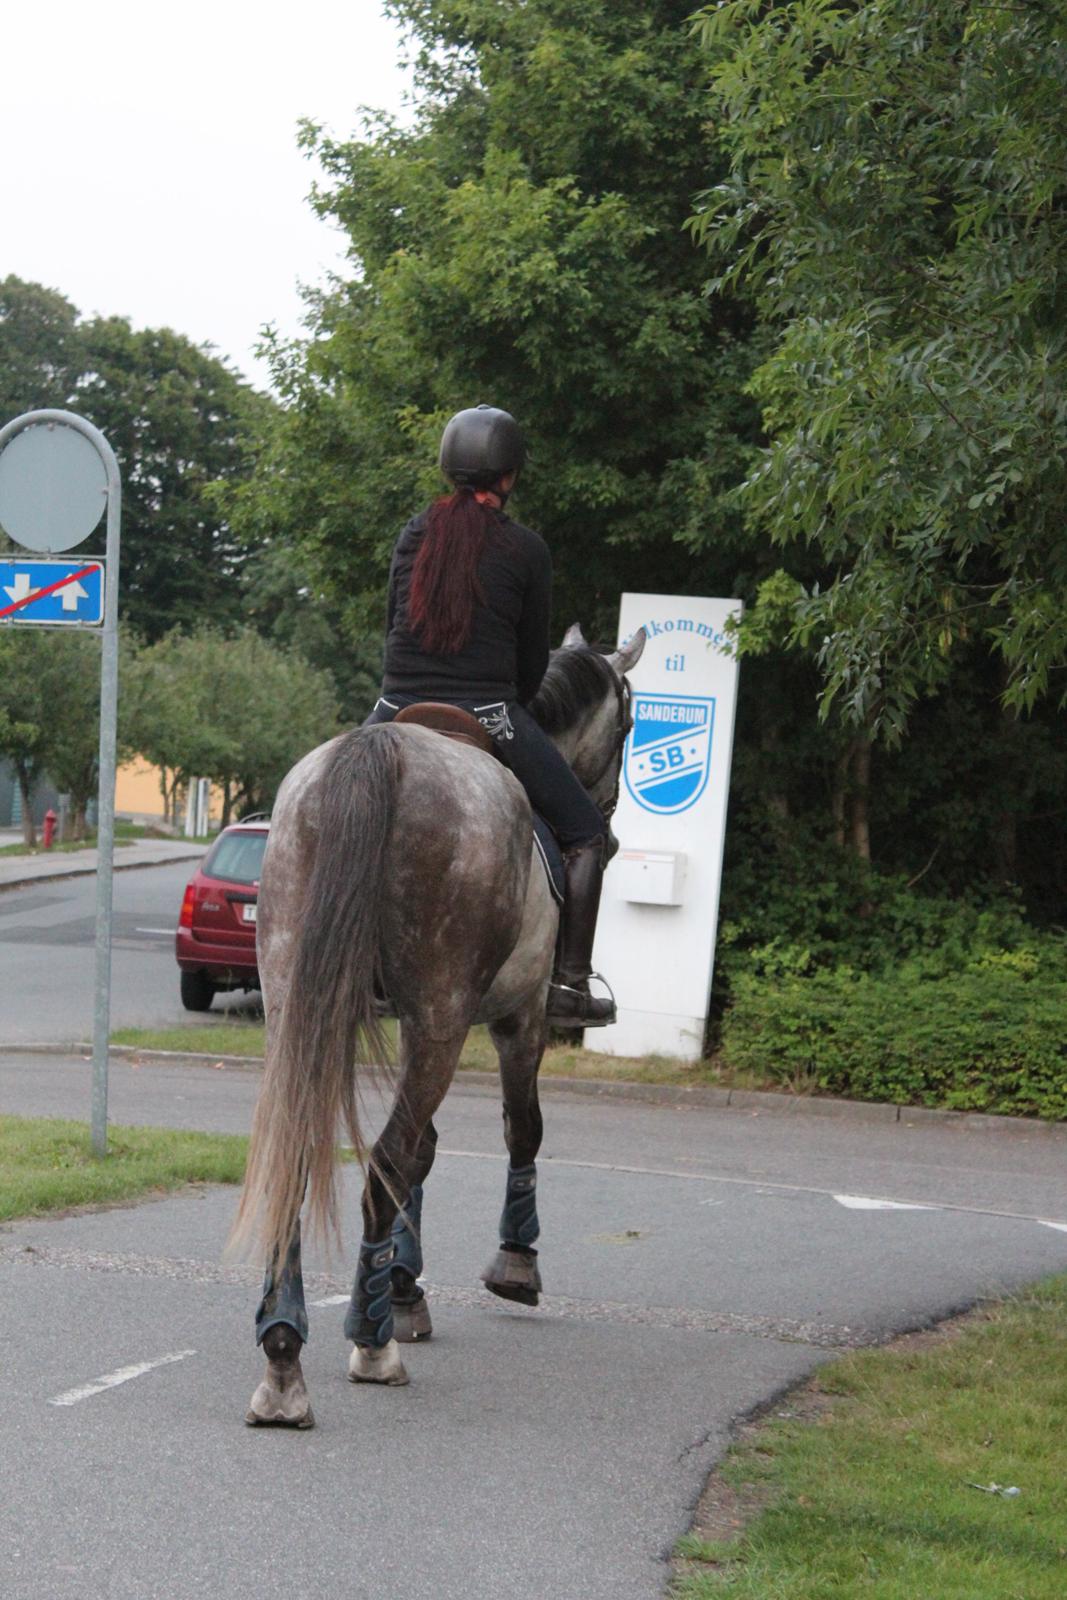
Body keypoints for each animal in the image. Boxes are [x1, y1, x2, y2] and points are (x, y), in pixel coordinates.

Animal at [235, 624, 646, 1427]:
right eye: (628, 724)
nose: (610, 819)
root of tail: (382, 755)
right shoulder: (516, 1017)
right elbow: (519, 1130)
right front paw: (512, 1264)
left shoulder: (411, 1023)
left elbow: (424, 1151)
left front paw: (402, 1287)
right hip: (445, 1017)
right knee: (384, 1164)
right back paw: (368, 1346)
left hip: (304, 1002)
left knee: (303, 1156)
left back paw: (284, 1353)